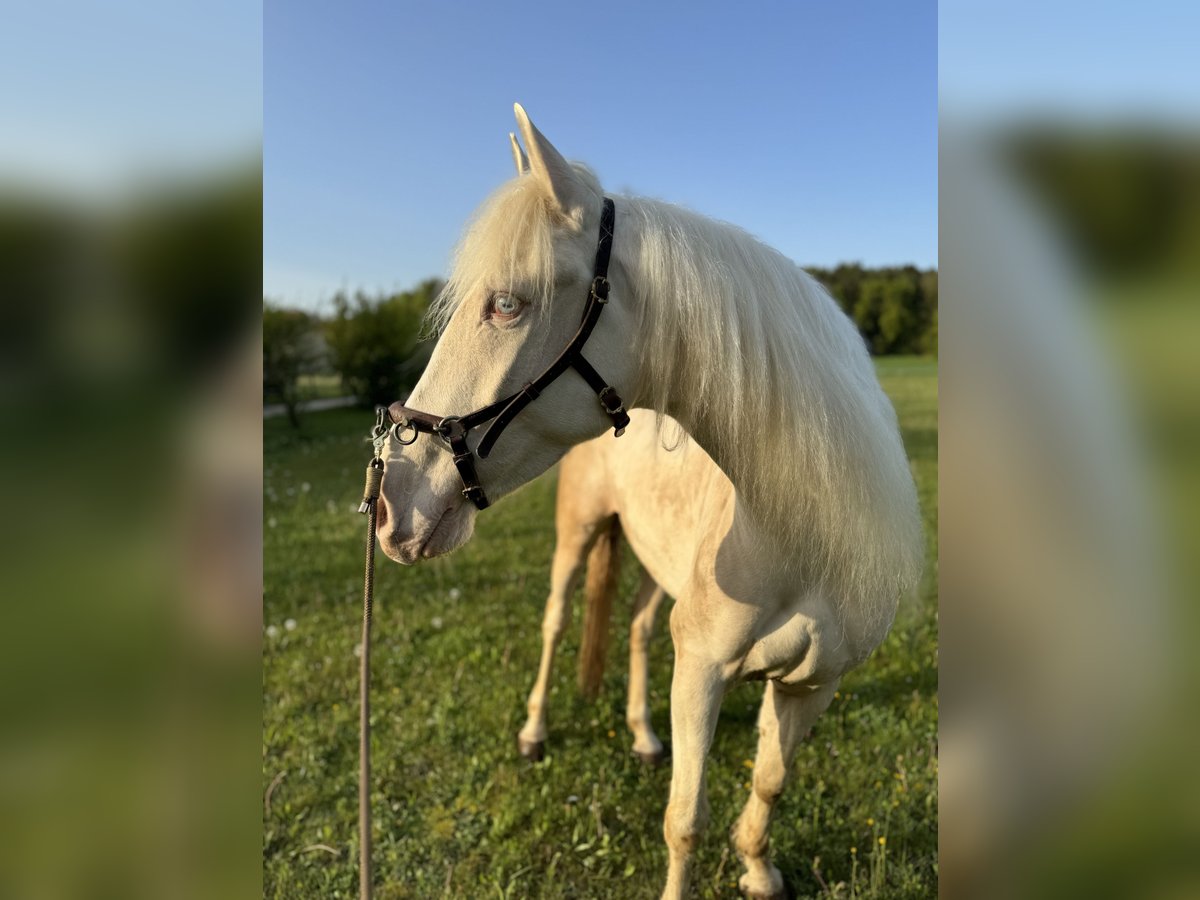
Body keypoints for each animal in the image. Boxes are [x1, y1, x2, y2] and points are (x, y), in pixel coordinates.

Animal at [379, 105, 921, 900]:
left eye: (506, 304)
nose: (392, 498)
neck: (799, 538)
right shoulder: (701, 673)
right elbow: (685, 820)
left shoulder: (812, 686)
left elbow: (770, 783)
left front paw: (758, 868)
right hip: (577, 538)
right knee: (555, 621)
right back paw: (535, 731)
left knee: (634, 629)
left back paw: (639, 735)